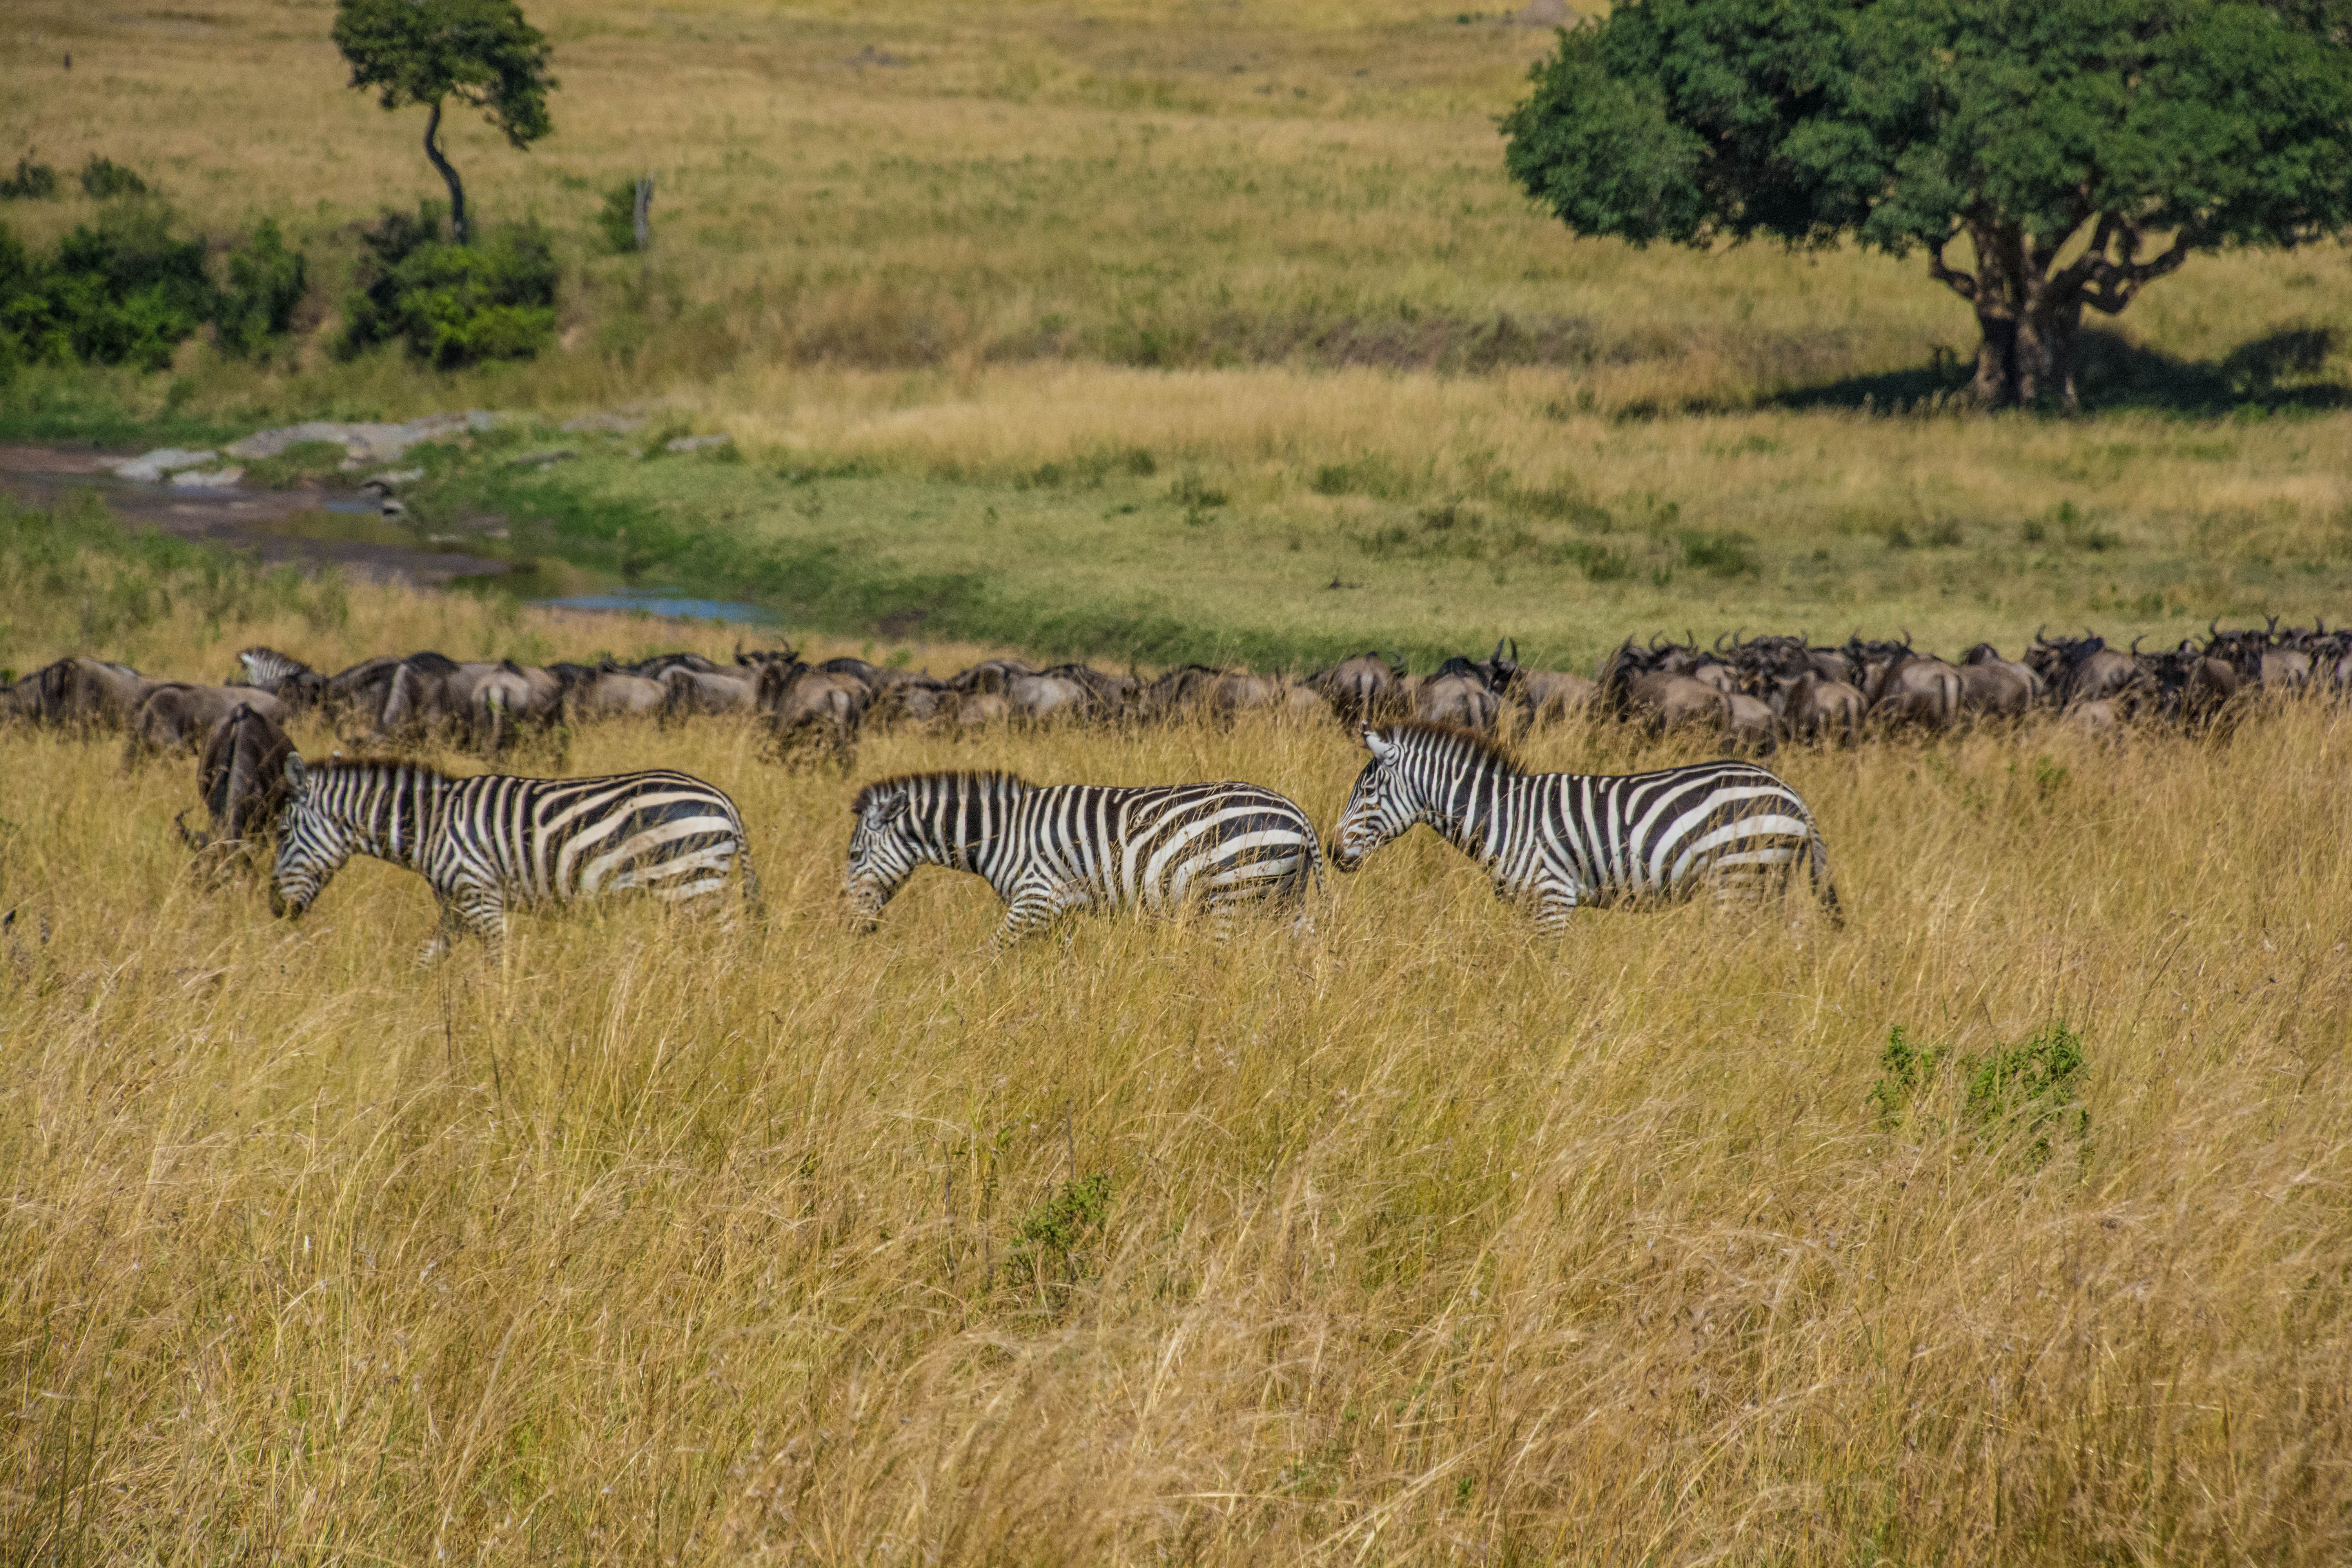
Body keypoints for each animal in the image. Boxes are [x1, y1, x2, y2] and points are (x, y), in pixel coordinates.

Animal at [271, 756, 758, 961]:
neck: (432, 825)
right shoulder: (456, 906)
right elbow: (427, 960)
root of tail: (724, 800)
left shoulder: (481, 898)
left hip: (692, 884)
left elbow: (497, 966)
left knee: (727, 950)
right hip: (696, 887)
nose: (276, 909)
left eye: (280, 833)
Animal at [844, 771, 1322, 942]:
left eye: (854, 855)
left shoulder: (1036, 899)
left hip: (1232, 898)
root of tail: (1299, 815)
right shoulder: (1061, 910)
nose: (851, 928)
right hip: (1287, 902)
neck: (1005, 834)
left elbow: (992, 954)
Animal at [1330, 722, 1841, 930]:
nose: (1334, 853)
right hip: (1765, 880)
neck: (1502, 816)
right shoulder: (1528, 904)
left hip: (1739, 878)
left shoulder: (1553, 897)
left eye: (1368, 792)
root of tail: (1792, 793)